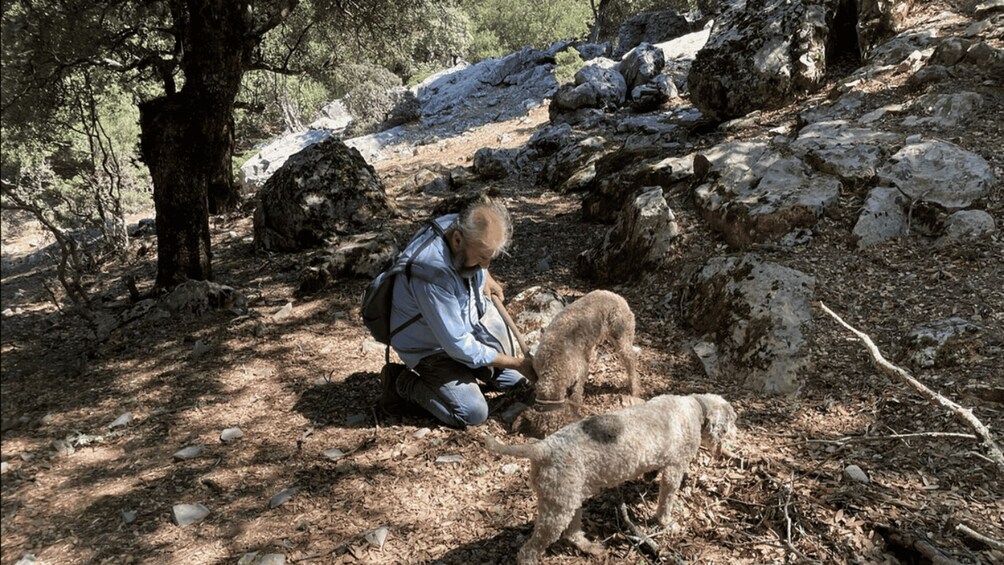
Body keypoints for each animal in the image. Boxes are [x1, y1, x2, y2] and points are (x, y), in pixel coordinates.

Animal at [487, 393, 738, 565]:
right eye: (732, 422)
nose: (736, 437)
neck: (696, 407)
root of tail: (542, 448)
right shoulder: (675, 468)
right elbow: (666, 500)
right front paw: (666, 522)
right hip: (558, 508)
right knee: (529, 550)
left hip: (566, 500)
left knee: (572, 532)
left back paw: (591, 548)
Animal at [514, 289, 638, 439]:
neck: (553, 366)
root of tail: (615, 295)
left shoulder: (581, 372)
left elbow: (576, 397)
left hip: (621, 336)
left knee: (631, 362)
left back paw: (635, 390)